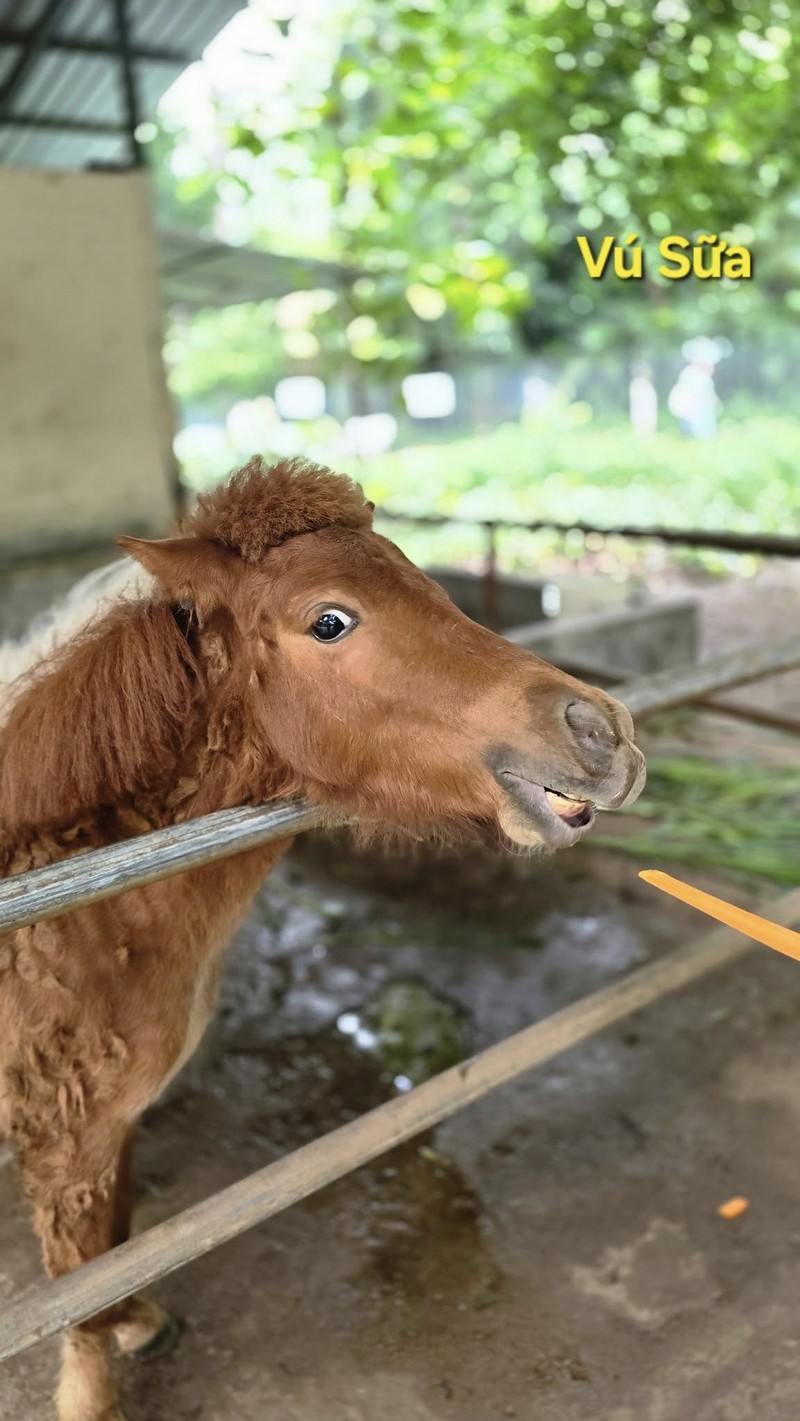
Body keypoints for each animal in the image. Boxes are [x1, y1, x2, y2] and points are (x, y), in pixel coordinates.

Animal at [0, 460, 642, 1415]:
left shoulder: (113, 1126)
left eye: (424, 582)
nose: (603, 733)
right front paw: (94, 1382)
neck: (75, 891)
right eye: (330, 620)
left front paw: (136, 1320)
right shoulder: (63, 1138)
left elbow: (114, 1247)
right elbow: (78, 1284)